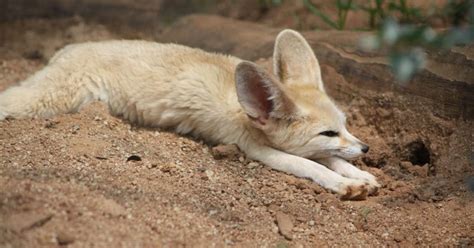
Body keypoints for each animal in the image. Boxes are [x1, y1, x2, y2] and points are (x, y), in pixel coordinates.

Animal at [0, 29, 380, 200]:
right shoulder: (257, 149)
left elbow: (328, 159)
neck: (244, 110)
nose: (366, 149)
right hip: (51, 99)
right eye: (327, 132)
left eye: (345, 125)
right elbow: (311, 166)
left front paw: (360, 175)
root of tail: (69, 47)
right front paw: (344, 184)